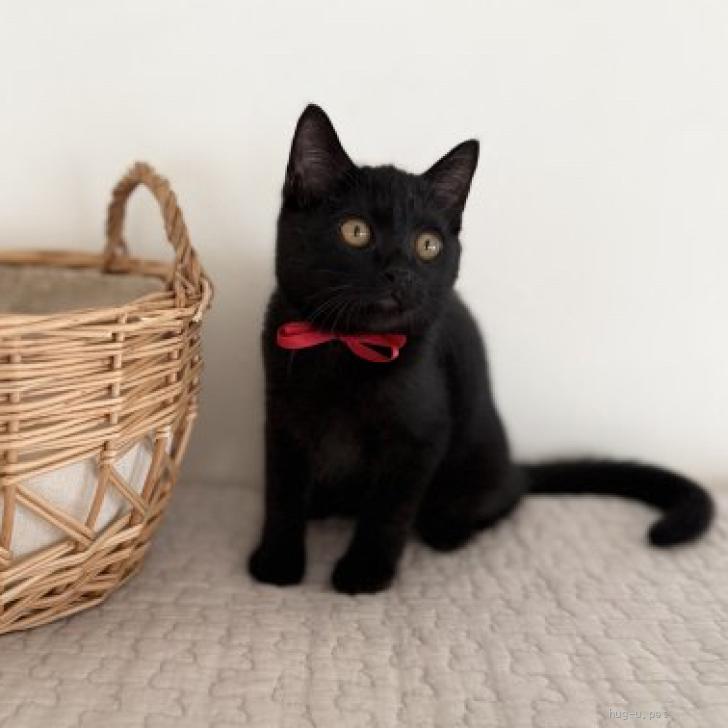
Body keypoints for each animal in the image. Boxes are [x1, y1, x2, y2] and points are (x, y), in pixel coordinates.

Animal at [248, 104, 714, 595]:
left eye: (428, 245)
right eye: (355, 231)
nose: (401, 273)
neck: (348, 346)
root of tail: (512, 464)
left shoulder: (421, 437)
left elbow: (387, 510)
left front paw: (365, 571)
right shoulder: (282, 420)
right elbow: (281, 492)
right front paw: (276, 562)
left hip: (476, 459)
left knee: (507, 497)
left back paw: (449, 528)